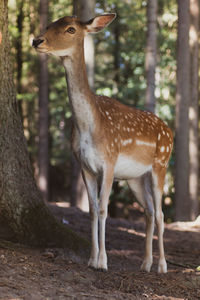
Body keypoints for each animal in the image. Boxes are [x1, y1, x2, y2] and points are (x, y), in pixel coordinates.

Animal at [33, 12, 173, 274]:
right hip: (135, 179)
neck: (89, 126)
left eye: (70, 29)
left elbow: (103, 208)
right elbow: (91, 209)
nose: (37, 41)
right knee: (149, 211)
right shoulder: (85, 166)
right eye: (49, 25)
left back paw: (162, 266)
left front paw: (103, 261)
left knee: (160, 213)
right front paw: (91, 258)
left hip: (161, 165)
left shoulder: (109, 161)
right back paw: (145, 263)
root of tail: (170, 131)